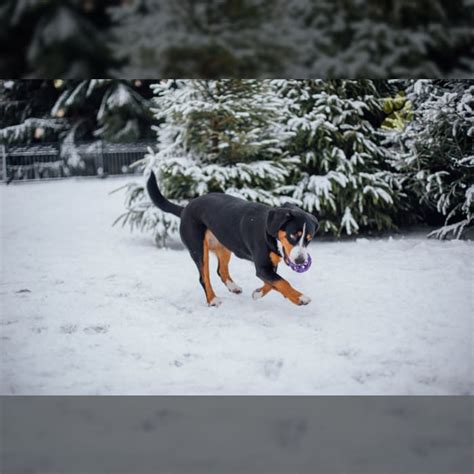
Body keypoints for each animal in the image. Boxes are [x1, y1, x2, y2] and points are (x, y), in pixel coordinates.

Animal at [147, 170, 318, 308]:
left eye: (308, 239)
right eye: (293, 235)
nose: (301, 261)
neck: (270, 232)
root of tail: (185, 209)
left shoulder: (269, 266)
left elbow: (273, 283)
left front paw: (257, 293)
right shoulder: (262, 266)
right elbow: (282, 281)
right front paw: (300, 298)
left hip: (224, 245)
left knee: (221, 270)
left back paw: (233, 287)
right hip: (198, 249)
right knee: (204, 277)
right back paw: (213, 300)